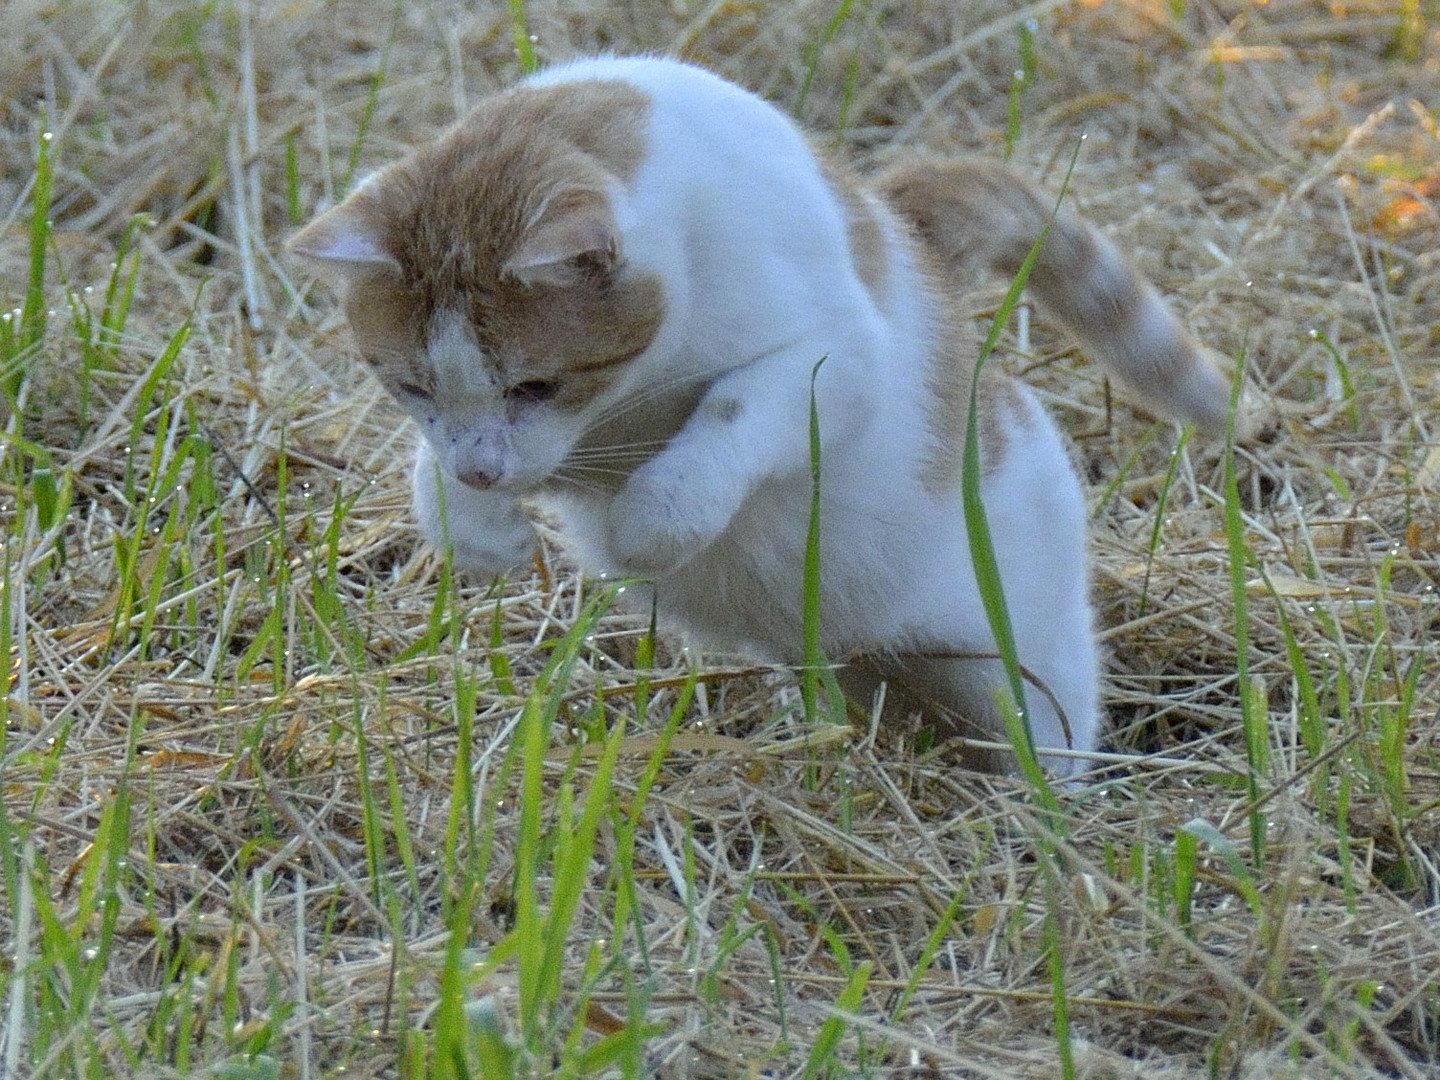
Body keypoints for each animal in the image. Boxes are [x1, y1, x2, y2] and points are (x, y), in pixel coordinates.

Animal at [286, 55, 1232, 777]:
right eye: (412, 388)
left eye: (536, 387)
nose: (484, 470)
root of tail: (917, 239)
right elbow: (432, 467)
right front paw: (475, 523)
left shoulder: (836, 362)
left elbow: (729, 410)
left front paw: (657, 520)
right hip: (870, 672)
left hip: (1021, 678)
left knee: (1046, 744)